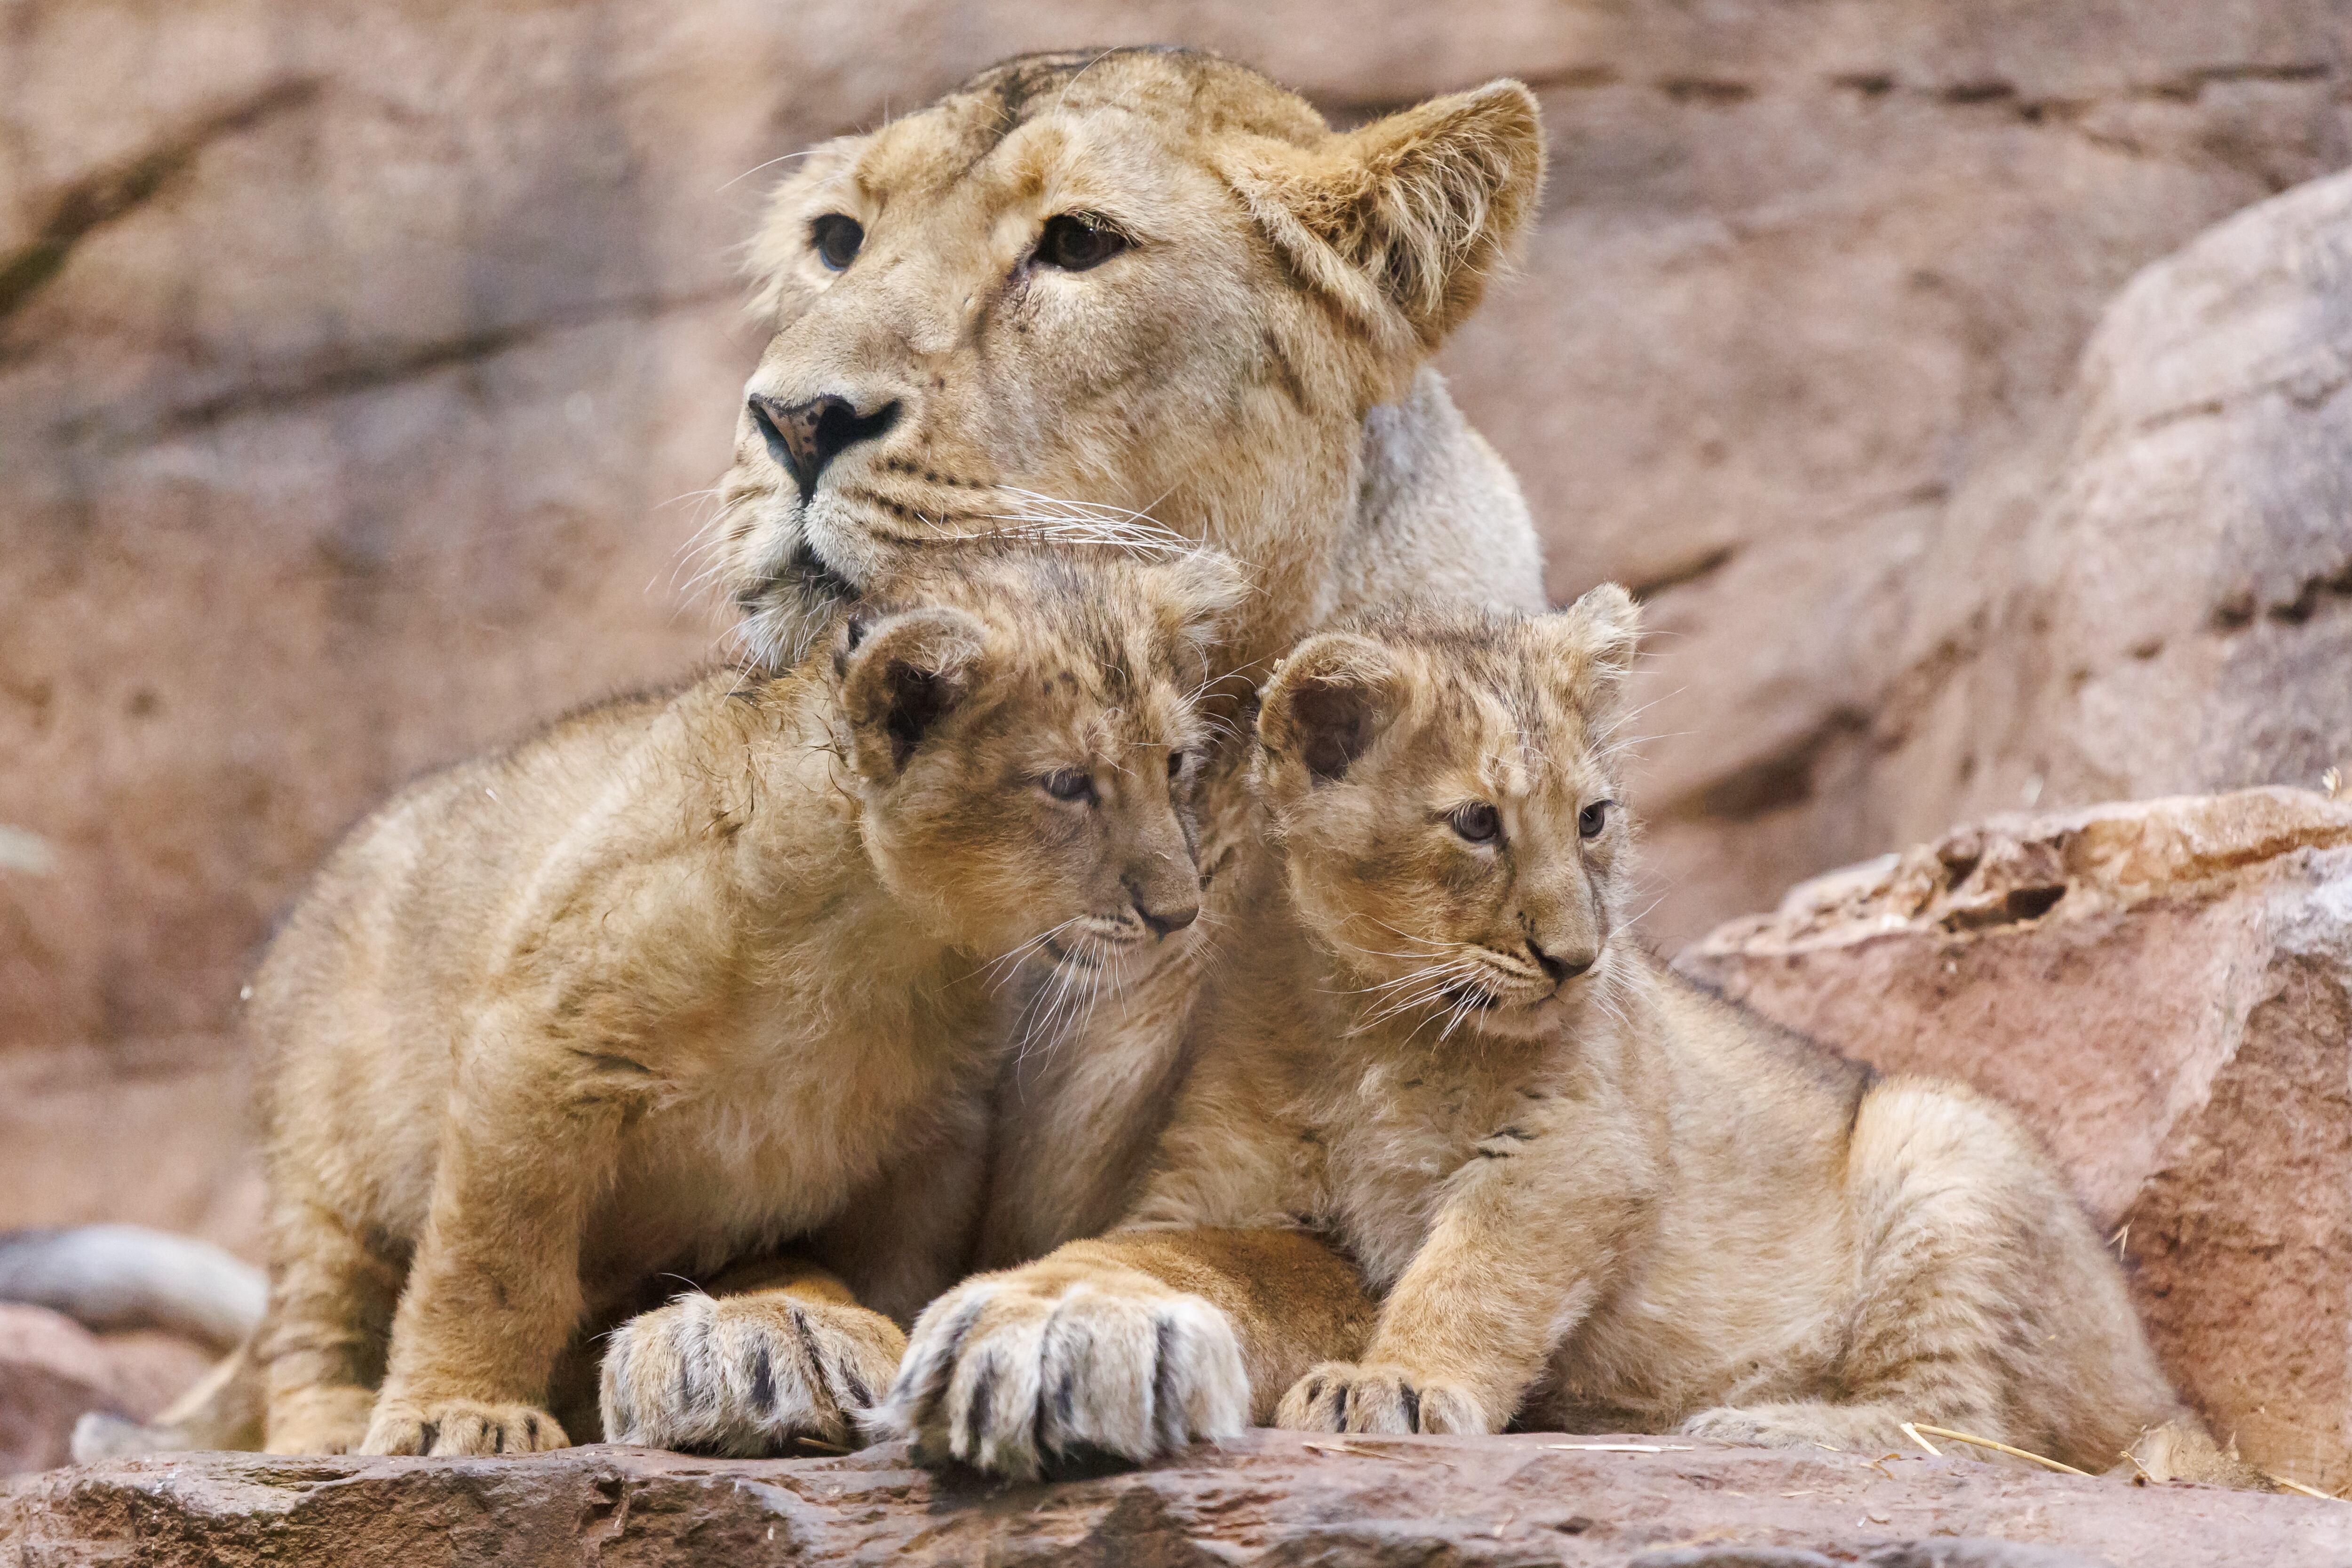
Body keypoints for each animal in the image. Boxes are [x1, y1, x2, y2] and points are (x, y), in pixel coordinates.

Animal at [881, 590, 2258, 1489]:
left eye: (1593, 818)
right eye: (1476, 824)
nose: (1578, 957)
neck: (1372, 1022)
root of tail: (2166, 1383)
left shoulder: (1576, 1153)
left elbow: (1474, 1273)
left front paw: (1397, 1384)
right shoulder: (1230, 1192)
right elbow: (1154, 1254)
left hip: (1944, 1136)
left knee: (1971, 1423)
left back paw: (1760, 1426)